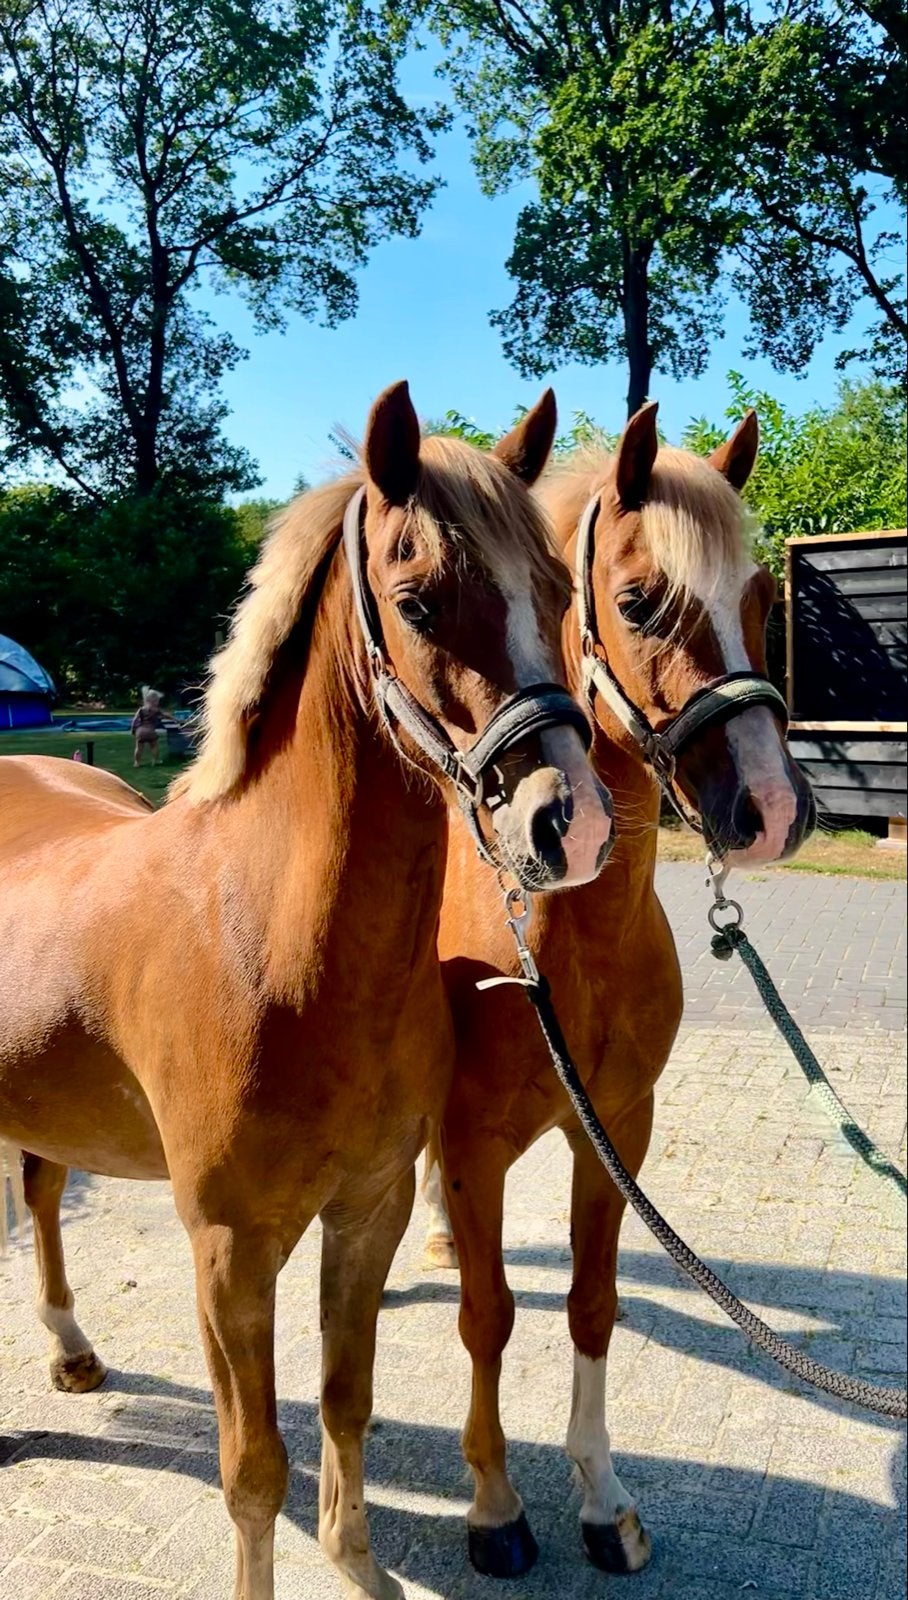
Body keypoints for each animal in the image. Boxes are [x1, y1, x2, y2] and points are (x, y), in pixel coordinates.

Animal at [0, 380, 614, 1600]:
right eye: (418, 600)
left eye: (558, 594)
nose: (565, 823)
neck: (271, 944)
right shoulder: (230, 1249)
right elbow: (252, 1469)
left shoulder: (369, 1209)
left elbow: (345, 1404)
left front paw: (359, 1567)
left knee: (40, 1194)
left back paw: (72, 1351)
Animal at [421, 401, 816, 1580]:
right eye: (640, 600)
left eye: (761, 599)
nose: (774, 809)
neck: (563, 937)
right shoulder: (473, 1145)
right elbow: (488, 1315)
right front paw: (495, 1506)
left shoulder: (617, 1130)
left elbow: (589, 1305)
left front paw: (602, 1498)